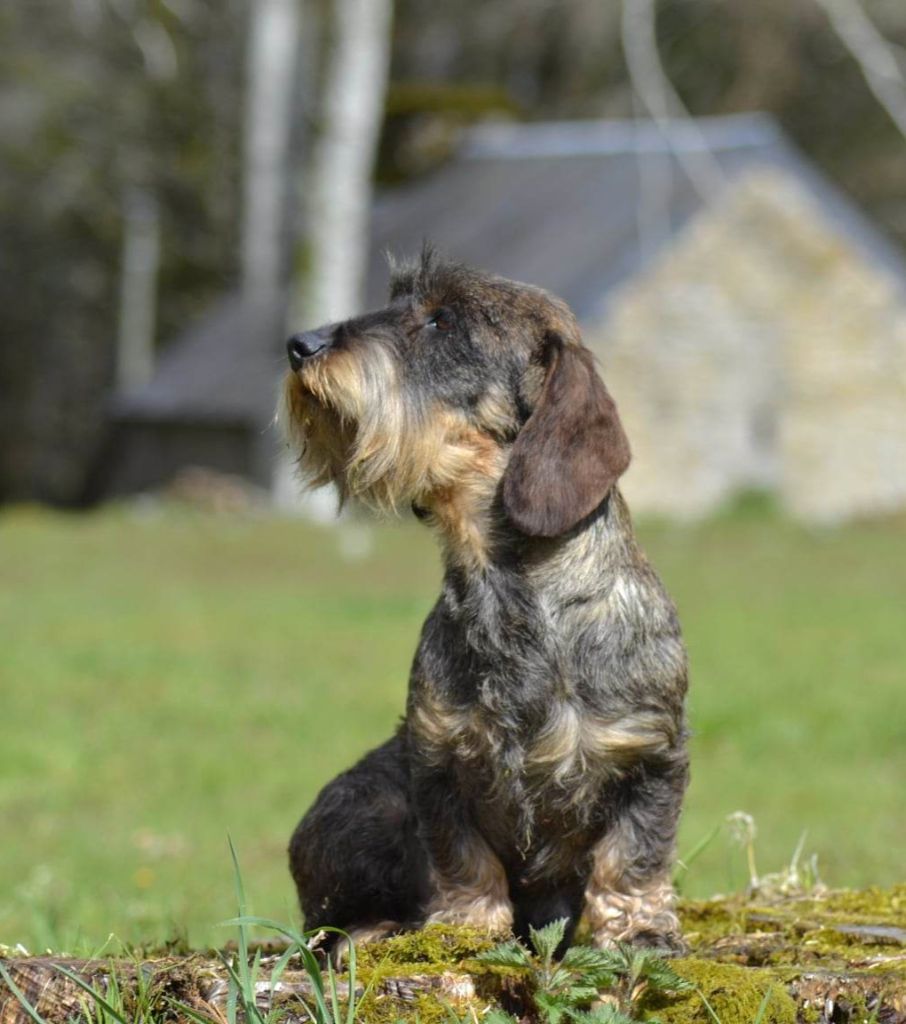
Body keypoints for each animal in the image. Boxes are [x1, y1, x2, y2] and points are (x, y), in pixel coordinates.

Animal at [278, 247, 687, 950]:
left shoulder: (651, 756)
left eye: (442, 321)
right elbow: (461, 855)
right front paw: (465, 925)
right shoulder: (437, 761)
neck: (507, 590)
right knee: (326, 921)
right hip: (363, 804)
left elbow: (633, 854)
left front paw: (637, 928)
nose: (300, 344)